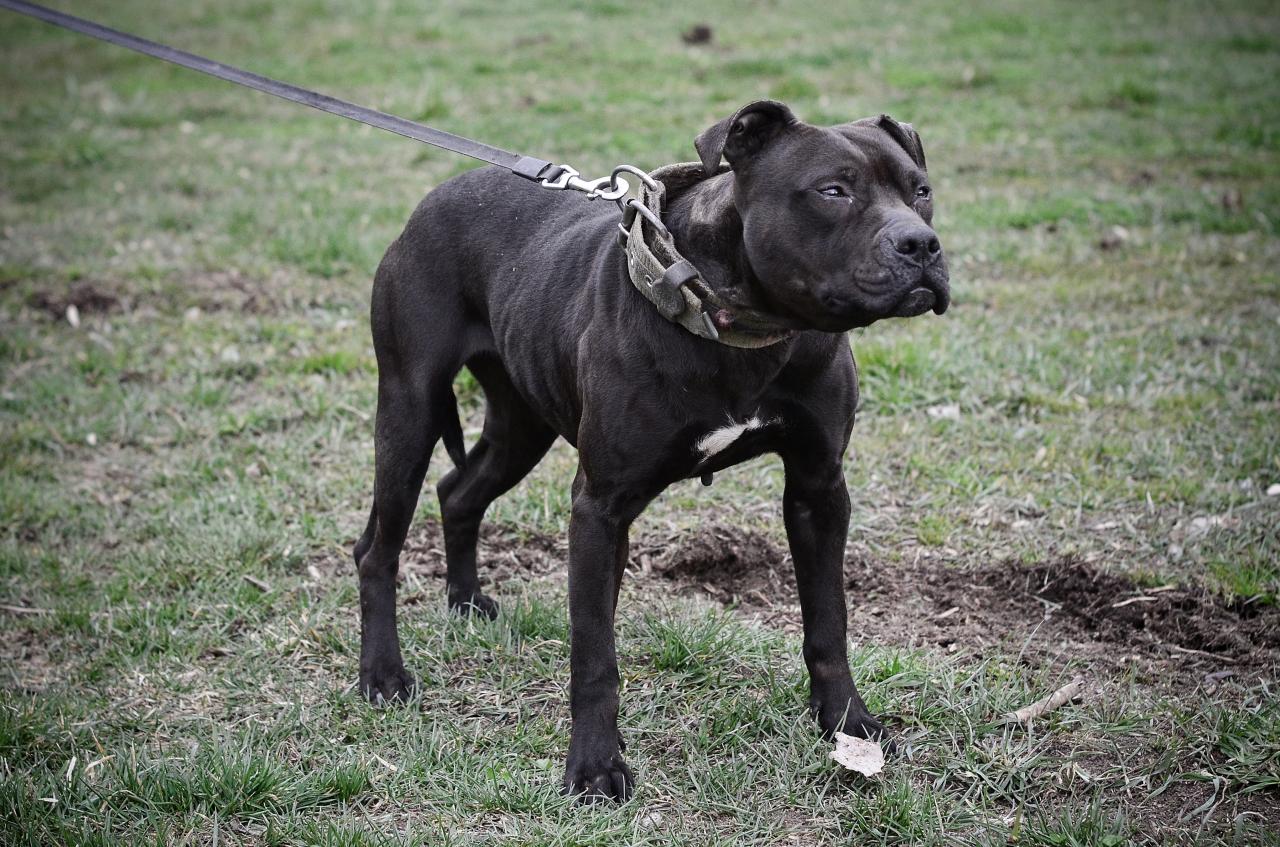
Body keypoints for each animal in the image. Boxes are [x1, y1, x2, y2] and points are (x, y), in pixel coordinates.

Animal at [352, 100, 949, 801]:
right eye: (833, 191)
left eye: (920, 190)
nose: (921, 244)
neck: (741, 328)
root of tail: (435, 197)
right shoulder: (600, 507)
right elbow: (594, 656)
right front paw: (593, 767)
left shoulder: (818, 489)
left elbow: (828, 624)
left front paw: (848, 726)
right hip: (409, 412)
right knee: (378, 548)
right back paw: (383, 675)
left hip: (521, 425)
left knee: (458, 492)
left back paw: (468, 604)